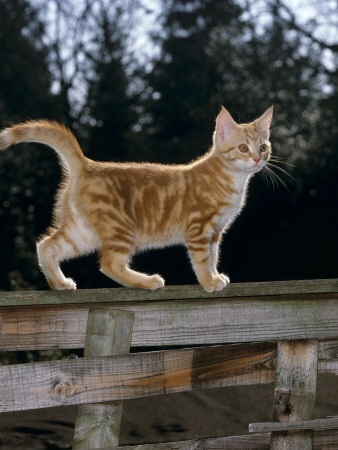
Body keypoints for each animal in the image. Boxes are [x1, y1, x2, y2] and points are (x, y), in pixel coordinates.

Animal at [0, 107, 274, 294]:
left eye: (263, 147)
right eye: (242, 148)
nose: (257, 159)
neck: (233, 181)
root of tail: (88, 165)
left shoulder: (216, 232)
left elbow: (213, 255)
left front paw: (216, 275)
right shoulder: (199, 228)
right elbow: (203, 259)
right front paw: (209, 281)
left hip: (82, 232)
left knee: (46, 245)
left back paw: (59, 283)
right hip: (121, 227)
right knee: (109, 264)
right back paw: (147, 281)